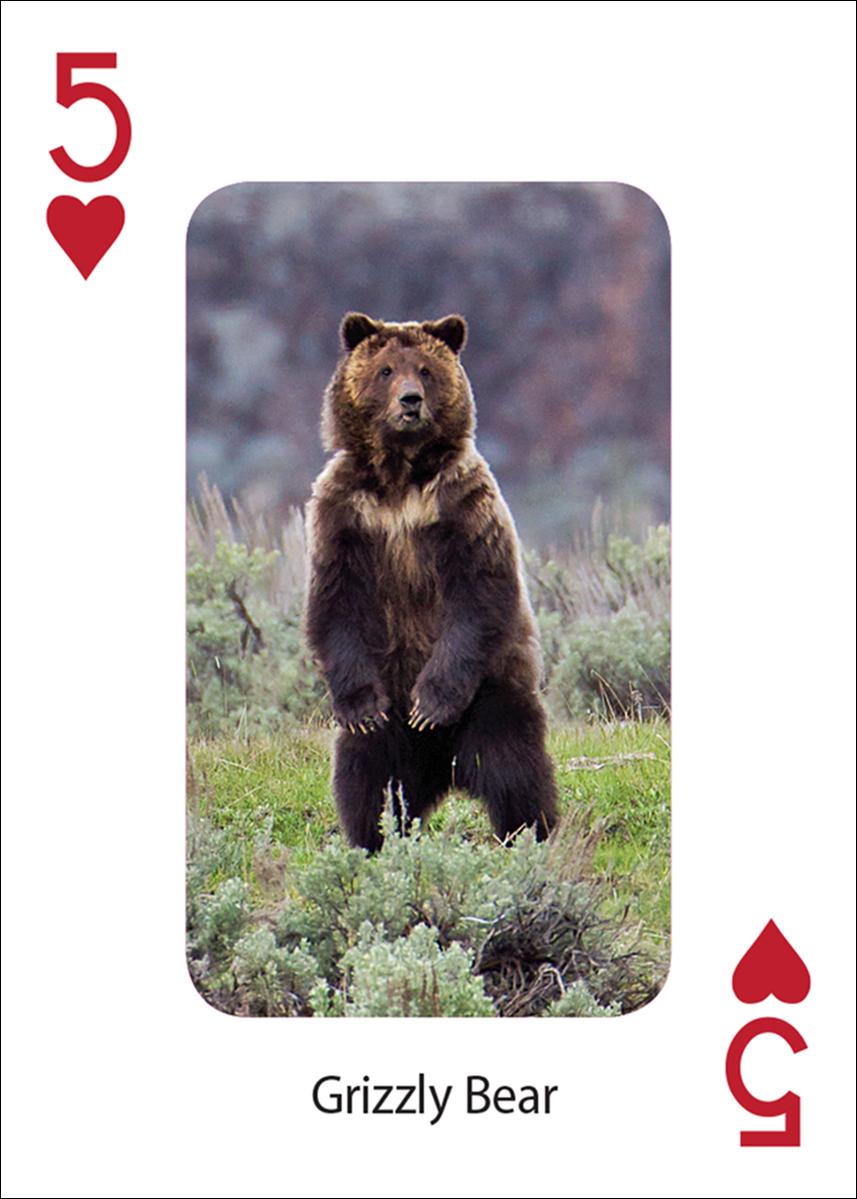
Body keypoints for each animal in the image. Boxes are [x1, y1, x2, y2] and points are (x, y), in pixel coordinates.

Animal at [304, 311, 558, 851]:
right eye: (385, 370)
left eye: (425, 369)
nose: (410, 401)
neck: (400, 480)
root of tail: (443, 769)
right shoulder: (345, 515)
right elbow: (335, 604)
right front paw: (362, 708)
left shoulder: (462, 506)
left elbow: (478, 595)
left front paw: (430, 705)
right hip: (391, 727)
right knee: (368, 779)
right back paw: (373, 840)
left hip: (493, 696)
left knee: (514, 769)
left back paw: (530, 835)